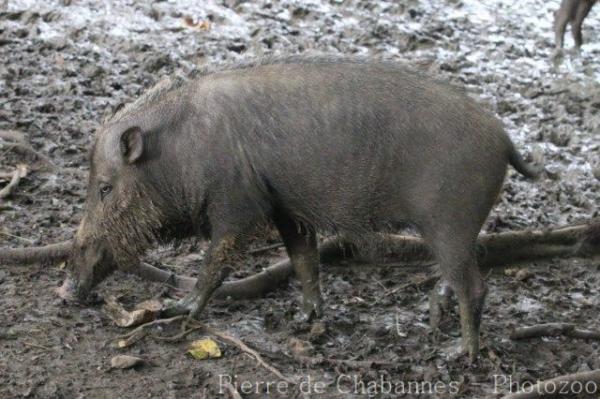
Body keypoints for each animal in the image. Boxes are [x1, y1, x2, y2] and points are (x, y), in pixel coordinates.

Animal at [64, 55, 540, 362]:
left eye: (104, 188)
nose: (67, 290)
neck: (179, 155)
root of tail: (503, 139)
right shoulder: (288, 211)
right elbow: (304, 261)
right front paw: (304, 319)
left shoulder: (236, 208)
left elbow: (215, 265)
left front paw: (177, 311)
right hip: (455, 227)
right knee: (459, 276)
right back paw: (435, 320)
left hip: (449, 220)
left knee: (475, 287)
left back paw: (458, 354)